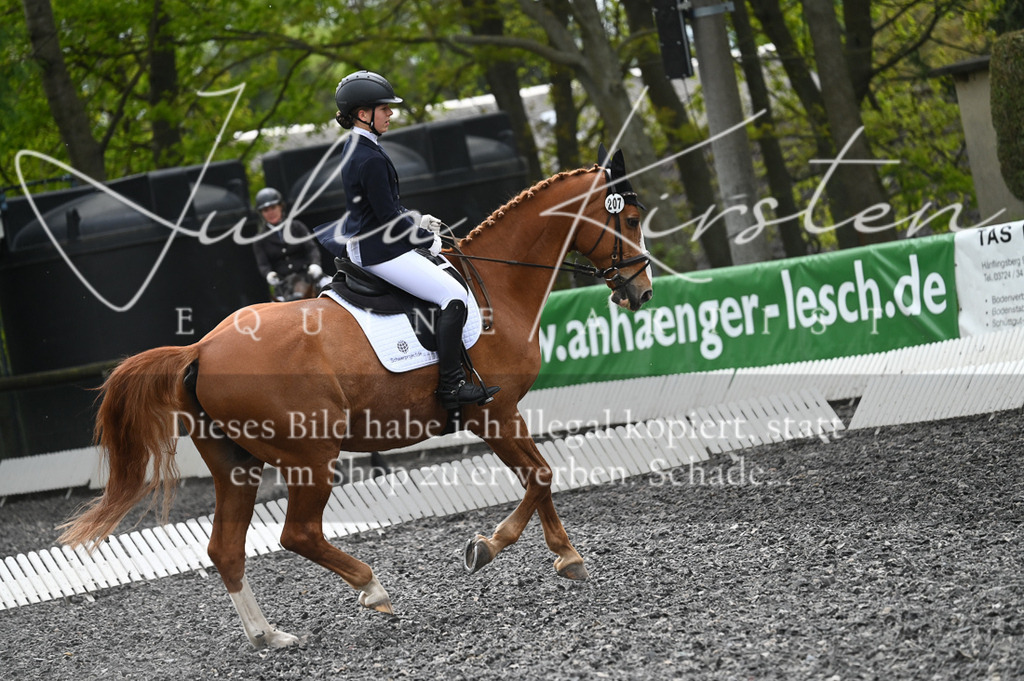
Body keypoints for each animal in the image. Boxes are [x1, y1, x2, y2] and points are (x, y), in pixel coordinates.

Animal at [58, 149, 655, 649]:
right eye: (628, 220)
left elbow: (542, 475)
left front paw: (567, 558)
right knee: (298, 533)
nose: (641, 291)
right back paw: (373, 590)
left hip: (237, 465)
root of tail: (201, 347)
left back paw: (269, 636)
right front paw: (485, 549)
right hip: (310, 457)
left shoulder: (505, 415)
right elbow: (539, 476)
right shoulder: (493, 412)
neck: (499, 287)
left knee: (225, 548)